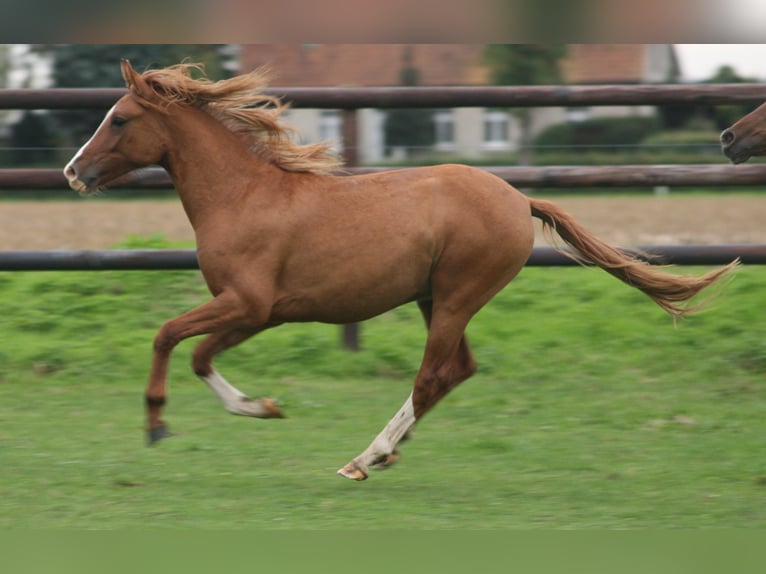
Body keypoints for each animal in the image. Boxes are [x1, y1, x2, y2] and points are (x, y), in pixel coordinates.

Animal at [64, 60, 736, 482]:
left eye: (119, 118)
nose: (74, 172)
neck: (243, 196)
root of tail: (519, 199)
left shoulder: (249, 304)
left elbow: (171, 337)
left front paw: (163, 423)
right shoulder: (253, 313)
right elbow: (198, 353)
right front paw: (260, 407)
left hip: (459, 295)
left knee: (432, 375)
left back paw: (366, 457)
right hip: (433, 299)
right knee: (456, 370)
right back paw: (388, 451)